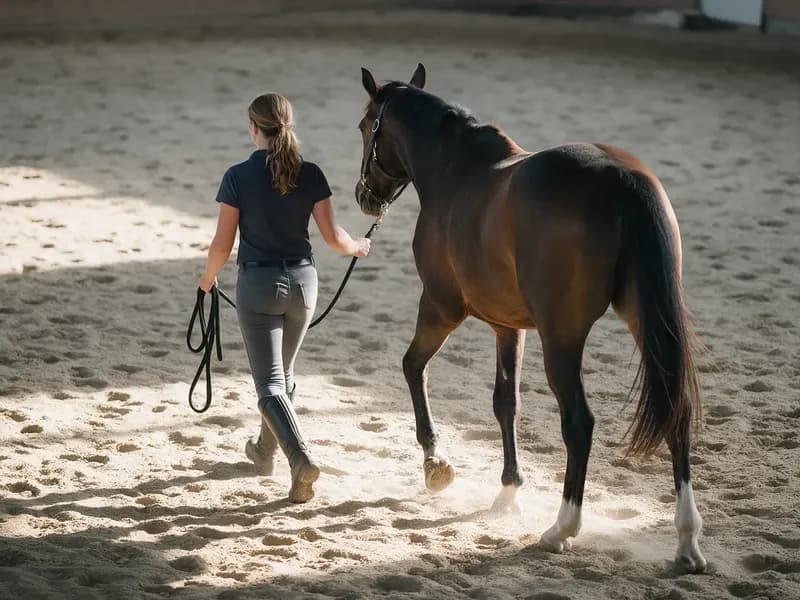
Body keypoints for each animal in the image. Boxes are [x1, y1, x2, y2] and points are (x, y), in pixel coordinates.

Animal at [354, 63, 706, 573]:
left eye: (366, 128)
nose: (364, 196)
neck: (456, 171)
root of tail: (624, 180)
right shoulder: (509, 326)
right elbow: (507, 403)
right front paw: (508, 491)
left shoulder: (440, 306)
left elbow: (412, 367)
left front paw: (435, 464)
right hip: (648, 322)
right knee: (677, 413)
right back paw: (686, 540)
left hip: (561, 337)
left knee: (579, 423)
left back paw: (562, 529)